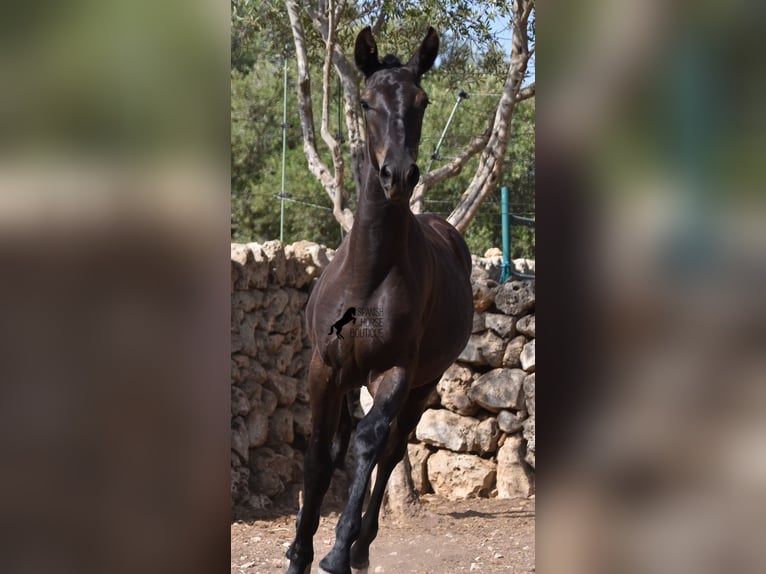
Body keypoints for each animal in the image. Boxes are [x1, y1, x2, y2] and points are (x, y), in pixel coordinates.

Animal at [286, 27, 474, 574]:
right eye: (366, 102)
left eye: (422, 100)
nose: (399, 175)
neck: (369, 273)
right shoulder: (324, 367)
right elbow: (319, 454)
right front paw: (299, 551)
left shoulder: (396, 371)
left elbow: (370, 444)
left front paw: (336, 552)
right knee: (345, 445)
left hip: (425, 383)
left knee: (389, 450)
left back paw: (361, 547)